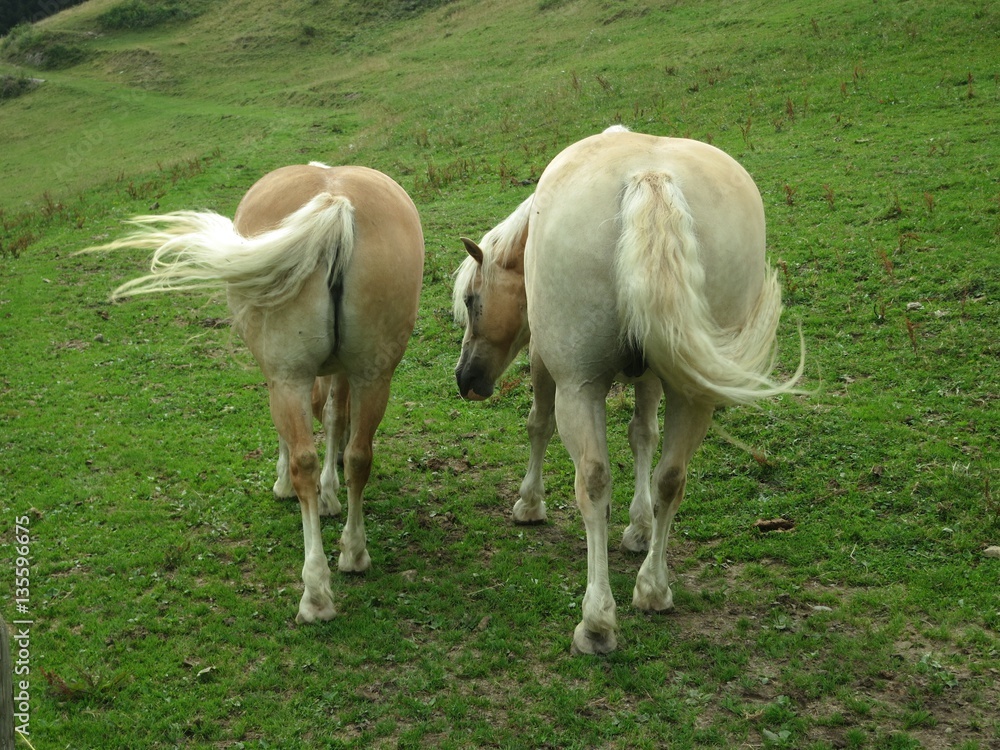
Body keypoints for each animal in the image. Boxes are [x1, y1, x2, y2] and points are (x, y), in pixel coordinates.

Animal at [91, 163, 425, 624]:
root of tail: (335, 202)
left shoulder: (279, 379)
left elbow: (290, 436)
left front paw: (288, 483)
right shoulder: (346, 373)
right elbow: (336, 417)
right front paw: (332, 491)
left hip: (288, 377)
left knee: (304, 461)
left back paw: (315, 593)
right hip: (375, 374)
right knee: (361, 457)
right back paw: (354, 553)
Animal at [453, 127, 803, 654]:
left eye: (473, 300)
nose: (466, 380)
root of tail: (650, 177)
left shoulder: (545, 363)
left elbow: (539, 425)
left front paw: (529, 504)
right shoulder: (655, 374)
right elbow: (644, 437)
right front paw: (639, 527)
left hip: (578, 387)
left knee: (593, 481)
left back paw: (597, 620)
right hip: (692, 392)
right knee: (672, 478)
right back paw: (653, 589)